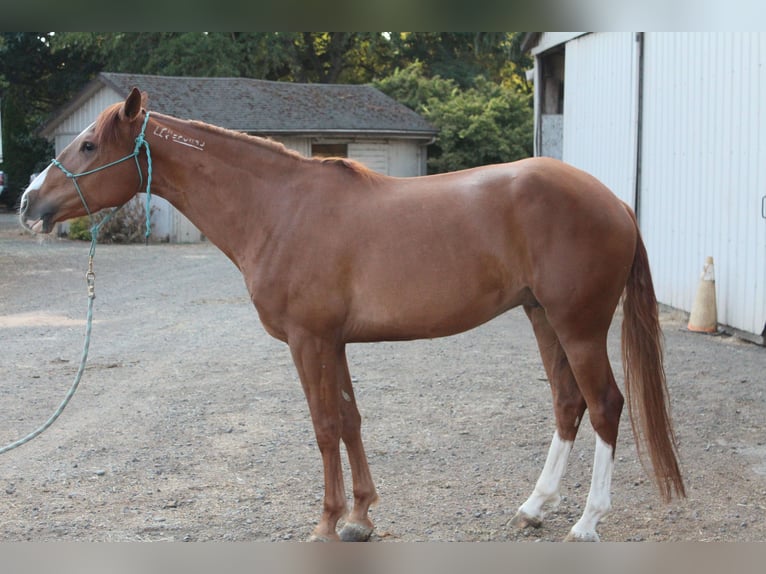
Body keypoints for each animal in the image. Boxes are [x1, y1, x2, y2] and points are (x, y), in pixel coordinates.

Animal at [18, 88, 684, 544]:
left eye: (88, 145)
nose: (28, 202)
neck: (278, 208)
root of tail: (615, 200)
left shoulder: (308, 341)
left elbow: (324, 427)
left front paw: (327, 523)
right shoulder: (332, 342)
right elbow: (351, 420)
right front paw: (361, 516)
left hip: (579, 327)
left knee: (605, 406)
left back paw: (587, 522)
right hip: (543, 318)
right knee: (569, 405)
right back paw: (534, 507)